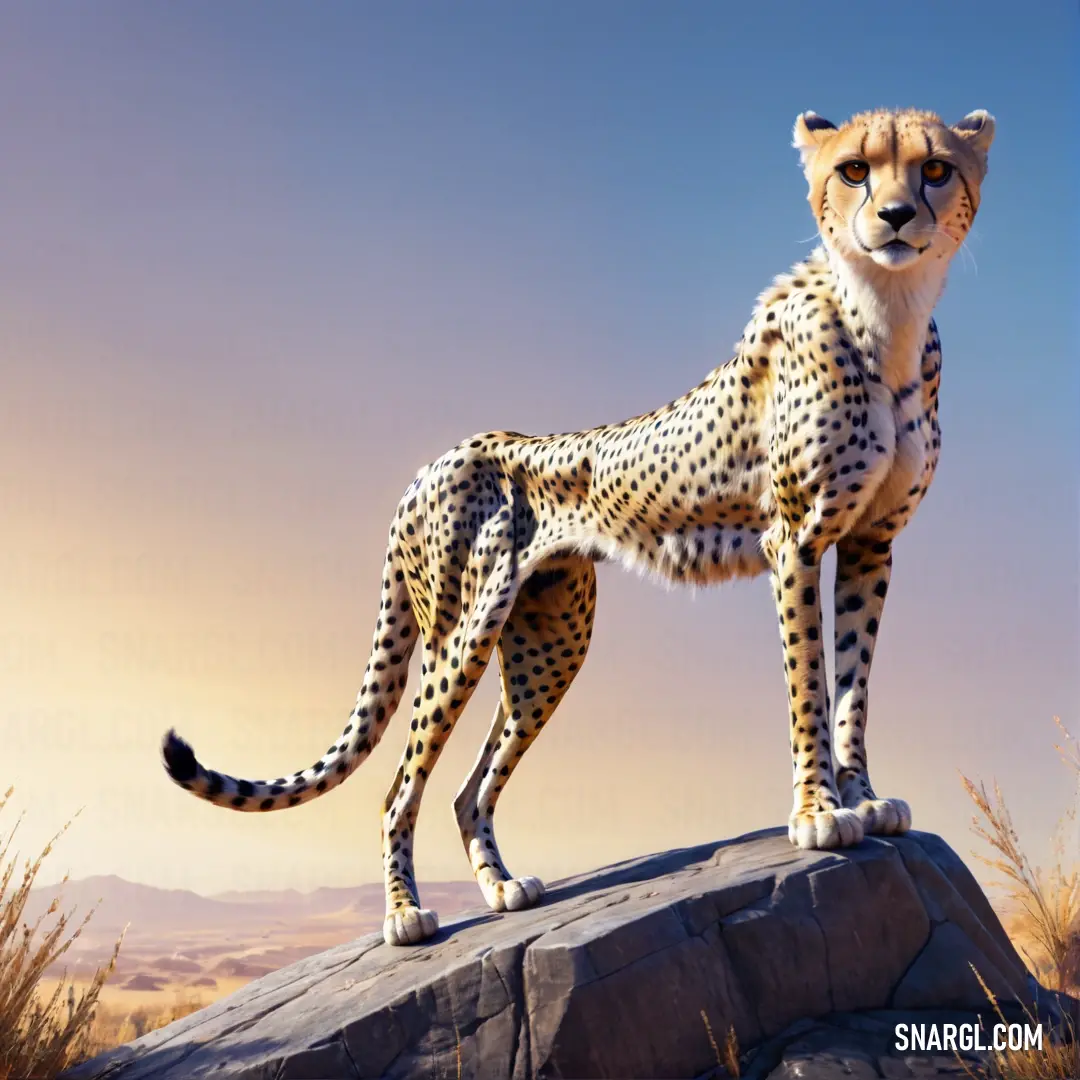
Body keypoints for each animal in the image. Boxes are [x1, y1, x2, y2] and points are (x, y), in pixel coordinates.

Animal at [159, 105, 993, 941]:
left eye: (935, 169)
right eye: (854, 169)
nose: (895, 217)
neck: (887, 313)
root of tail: (433, 461)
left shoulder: (870, 543)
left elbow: (854, 687)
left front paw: (862, 797)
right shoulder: (795, 540)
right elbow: (810, 688)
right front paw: (820, 813)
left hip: (548, 641)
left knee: (468, 786)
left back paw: (501, 888)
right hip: (461, 631)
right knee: (400, 786)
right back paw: (405, 915)